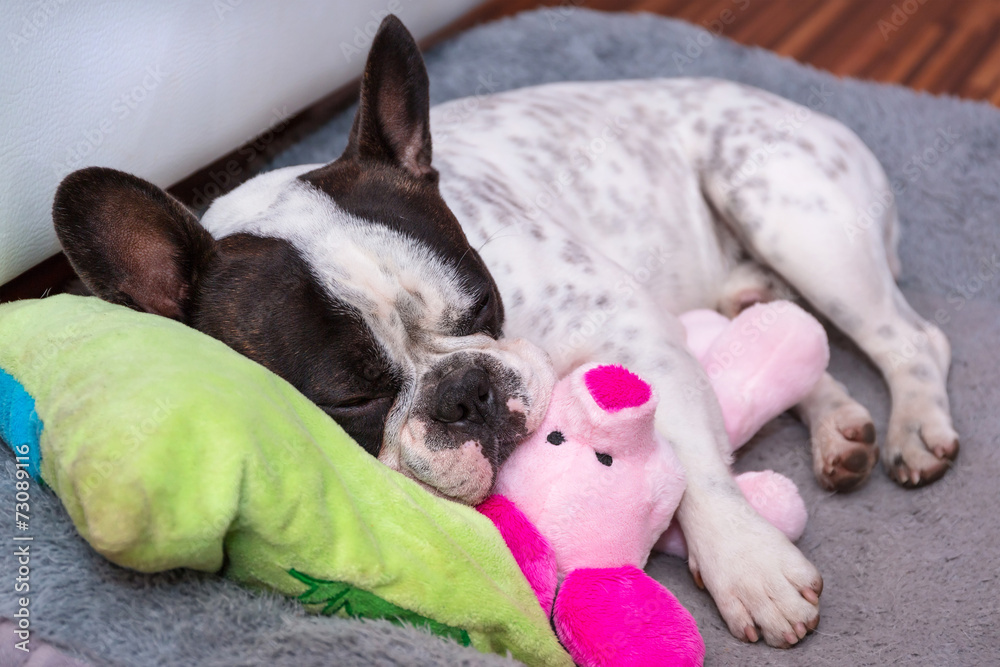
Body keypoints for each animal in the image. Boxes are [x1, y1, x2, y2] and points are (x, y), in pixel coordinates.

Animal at [50, 15, 956, 648]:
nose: (468, 391)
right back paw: (840, 428)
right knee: (790, 336)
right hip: (754, 277)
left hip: (786, 207)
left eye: (483, 305)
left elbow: (695, 463)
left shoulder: (629, 325)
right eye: (350, 397)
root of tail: (815, 114)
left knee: (910, 340)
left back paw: (914, 426)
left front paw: (747, 565)